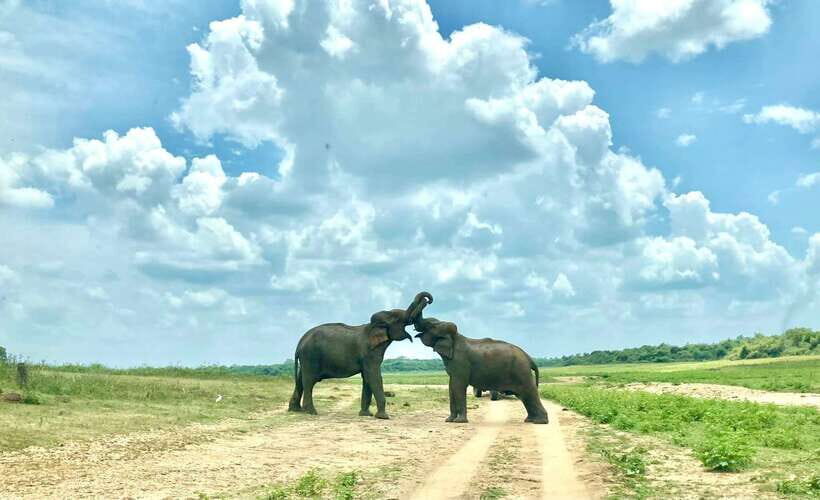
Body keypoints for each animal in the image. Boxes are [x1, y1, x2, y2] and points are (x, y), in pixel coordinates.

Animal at [288, 291, 433, 419]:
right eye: (397, 318)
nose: (428, 300)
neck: (373, 326)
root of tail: (300, 342)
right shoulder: (370, 353)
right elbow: (374, 376)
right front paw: (383, 417)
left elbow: (367, 378)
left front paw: (366, 415)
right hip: (310, 356)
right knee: (309, 381)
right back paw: (311, 412)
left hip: (306, 358)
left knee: (300, 379)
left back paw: (295, 410)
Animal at [414, 316, 548, 424]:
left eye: (431, 325)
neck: (456, 336)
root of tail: (528, 357)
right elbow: (451, 386)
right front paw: (449, 420)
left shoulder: (461, 361)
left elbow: (458, 386)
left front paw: (459, 421)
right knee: (525, 396)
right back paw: (530, 420)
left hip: (521, 370)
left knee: (529, 392)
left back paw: (540, 422)